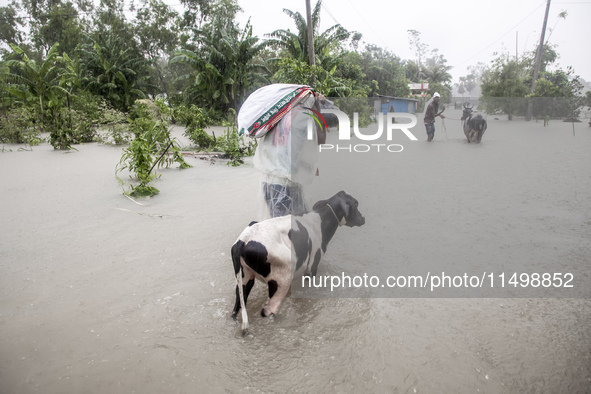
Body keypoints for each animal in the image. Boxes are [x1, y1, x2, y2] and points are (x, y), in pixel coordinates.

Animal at [229, 192, 364, 334]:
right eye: (356, 204)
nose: (363, 218)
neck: (320, 221)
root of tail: (243, 241)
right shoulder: (311, 269)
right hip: (281, 281)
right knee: (268, 311)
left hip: (244, 280)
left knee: (237, 307)